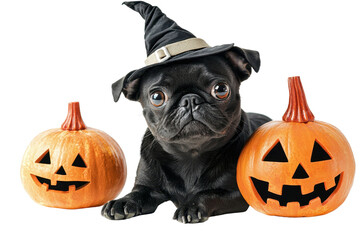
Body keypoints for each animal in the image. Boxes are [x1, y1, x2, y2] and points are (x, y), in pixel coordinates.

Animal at [101, 50, 270, 223]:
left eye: (221, 89)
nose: (190, 99)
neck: (190, 154)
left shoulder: (235, 193)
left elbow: (207, 193)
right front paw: (123, 201)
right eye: (157, 97)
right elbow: (136, 193)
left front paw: (191, 206)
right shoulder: (147, 187)